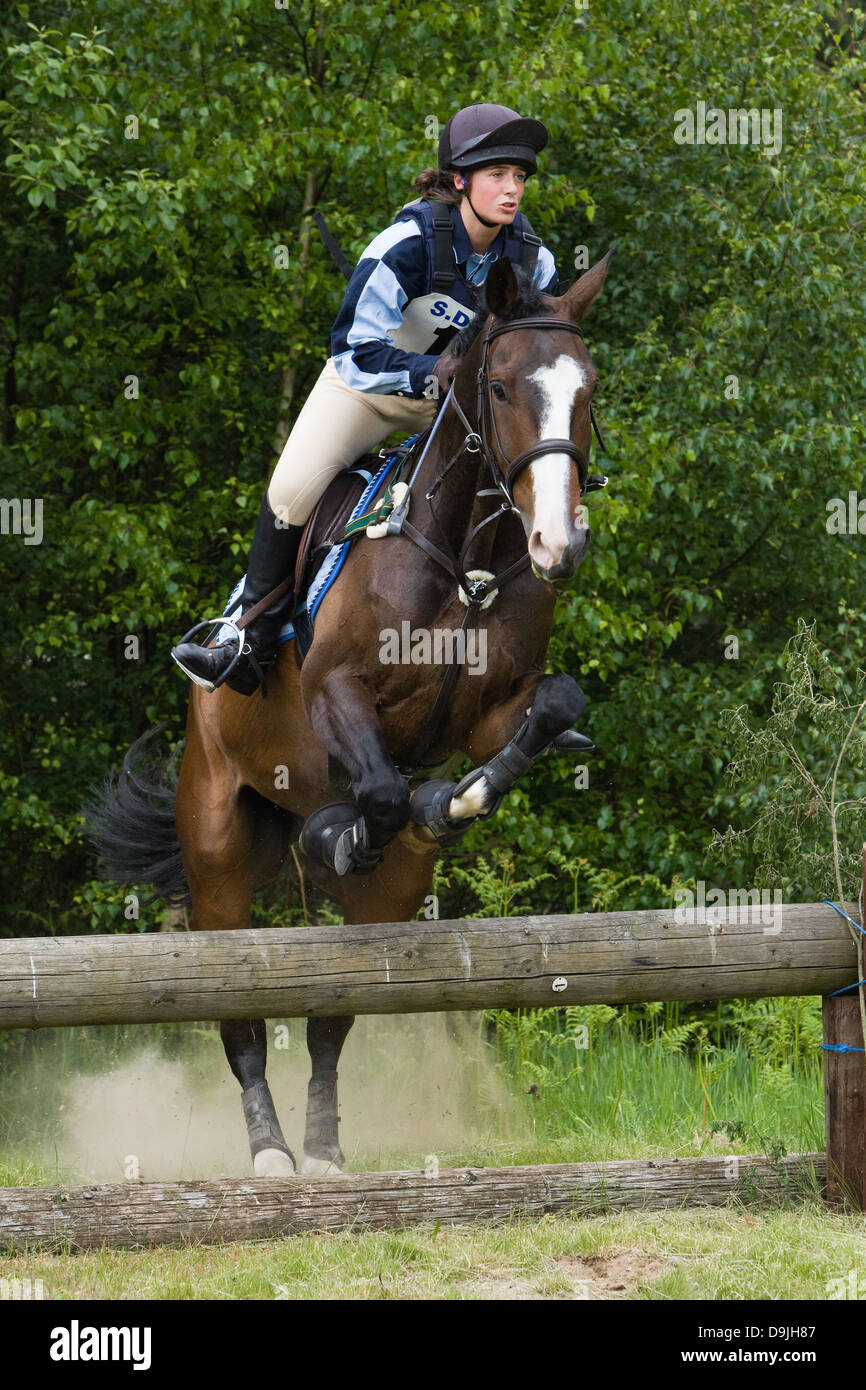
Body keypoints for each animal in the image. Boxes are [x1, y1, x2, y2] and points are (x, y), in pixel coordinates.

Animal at [88, 247, 614, 1173]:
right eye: (502, 387)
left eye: (587, 390)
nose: (559, 544)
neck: (468, 558)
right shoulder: (335, 695)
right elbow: (377, 791)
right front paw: (351, 830)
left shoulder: (490, 711)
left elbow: (547, 707)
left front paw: (453, 803)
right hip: (217, 849)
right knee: (239, 1014)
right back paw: (269, 1151)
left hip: (390, 900)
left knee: (332, 1015)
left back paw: (324, 1145)